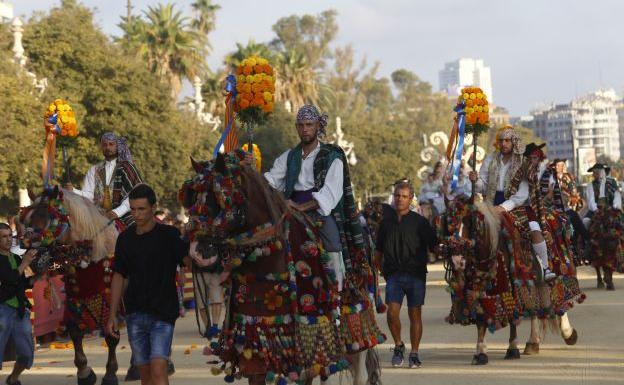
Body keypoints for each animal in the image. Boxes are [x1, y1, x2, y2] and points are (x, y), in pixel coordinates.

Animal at [17, 186, 121, 384]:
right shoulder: (75, 298)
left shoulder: (111, 298)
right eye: (24, 221)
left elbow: (111, 335)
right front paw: (84, 372)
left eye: (49, 220)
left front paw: (111, 374)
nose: (33, 261)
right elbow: (74, 331)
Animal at [179, 152, 386, 384]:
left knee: (359, 368)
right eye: (192, 200)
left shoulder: (304, 338)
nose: (197, 253)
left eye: (219, 199)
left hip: (356, 312)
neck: (267, 260)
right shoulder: (254, 337)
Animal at [438, 196, 584, 364]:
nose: (457, 260)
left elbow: (513, 316)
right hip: (531, 282)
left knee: (559, 301)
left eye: (470, 221)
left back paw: (568, 333)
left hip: (556, 274)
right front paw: (481, 352)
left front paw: (513, 348)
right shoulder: (477, 289)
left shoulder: (512, 285)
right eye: (447, 223)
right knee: (534, 307)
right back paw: (533, 342)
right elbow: (481, 319)